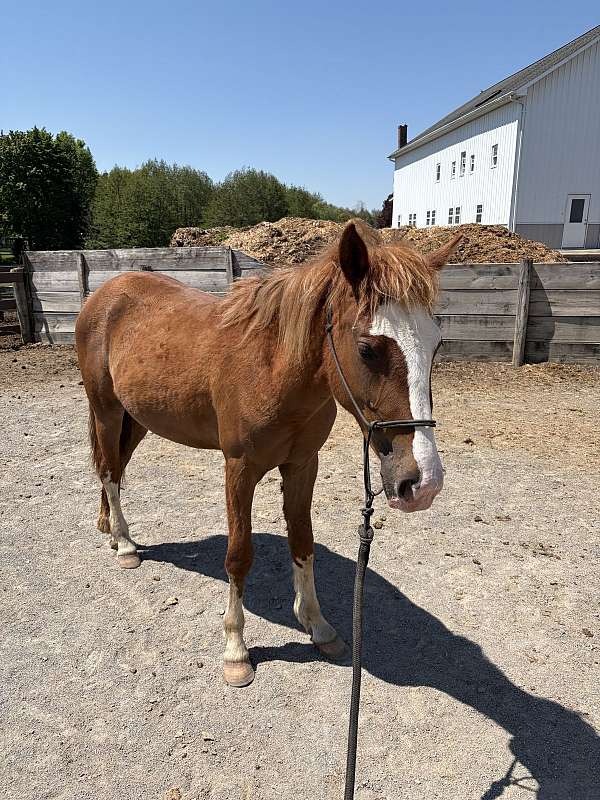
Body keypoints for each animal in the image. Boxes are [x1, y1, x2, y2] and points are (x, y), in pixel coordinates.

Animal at [75, 220, 461, 687]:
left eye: (436, 345)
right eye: (368, 348)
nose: (424, 482)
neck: (272, 368)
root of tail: (105, 294)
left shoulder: (302, 466)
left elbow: (303, 542)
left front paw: (317, 625)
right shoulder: (239, 469)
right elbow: (239, 556)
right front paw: (236, 649)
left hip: (138, 419)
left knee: (113, 466)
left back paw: (110, 530)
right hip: (107, 410)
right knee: (109, 470)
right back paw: (126, 545)